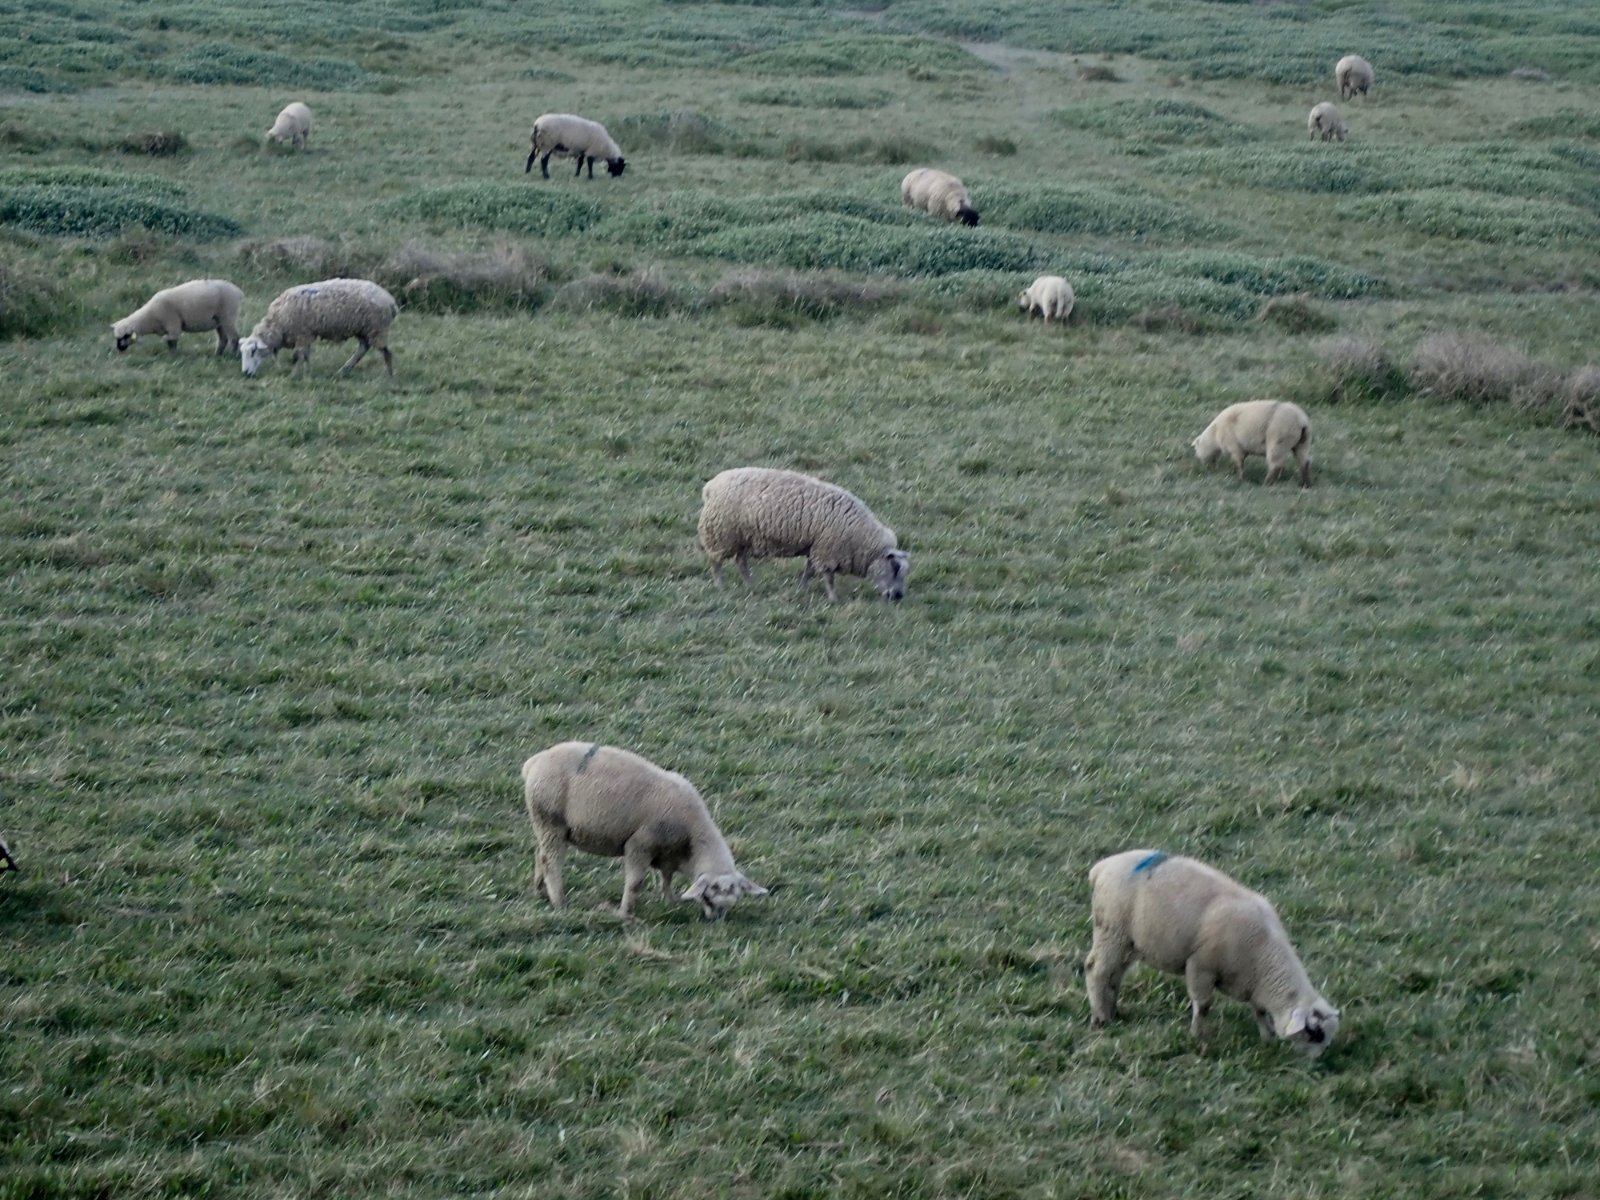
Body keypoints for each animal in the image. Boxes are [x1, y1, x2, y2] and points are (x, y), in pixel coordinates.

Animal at [112, 279, 244, 357]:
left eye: (126, 336)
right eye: (117, 337)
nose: (119, 348)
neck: (149, 317)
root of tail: (238, 291)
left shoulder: (172, 323)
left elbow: (171, 340)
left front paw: (173, 356)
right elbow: (171, 342)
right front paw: (172, 354)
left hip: (228, 316)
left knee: (234, 338)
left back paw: (233, 355)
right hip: (219, 320)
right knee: (223, 338)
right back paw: (217, 355)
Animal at [239, 278, 399, 377]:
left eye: (253, 352)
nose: (245, 374)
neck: (278, 323)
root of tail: (390, 301)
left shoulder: (302, 334)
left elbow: (297, 356)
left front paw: (293, 375)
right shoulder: (306, 334)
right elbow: (305, 355)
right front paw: (307, 371)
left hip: (377, 328)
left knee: (386, 353)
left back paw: (388, 375)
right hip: (364, 329)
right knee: (363, 348)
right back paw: (344, 369)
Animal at [521, 741, 767, 920]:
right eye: (709, 895)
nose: (715, 921)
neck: (692, 838)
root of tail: (534, 762)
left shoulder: (667, 854)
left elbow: (666, 877)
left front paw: (669, 901)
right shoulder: (639, 845)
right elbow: (635, 883)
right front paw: (625, 913)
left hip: (547, 825)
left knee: (540, 854)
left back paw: (540, 891)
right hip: (551, 819)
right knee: (551, 860)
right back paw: (560, 902)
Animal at [698, 466, 910, 603]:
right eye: (895, 568)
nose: (898, 596)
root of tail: (711, 486)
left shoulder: (817, 547)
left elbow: (809, 571)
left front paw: (801, 589)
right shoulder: (828, 550)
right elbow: (828, 578)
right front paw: (833, 598)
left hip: (741, 538)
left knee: (741, 562)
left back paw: (750, 585)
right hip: (721, 534)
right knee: (716, 562)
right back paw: (720, 586)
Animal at [1085, 850, 1340, 1056]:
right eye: (1315, 1034)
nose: (1315, 1064)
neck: (1264, 960)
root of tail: (1101, 868)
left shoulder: (1251, 983)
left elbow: (1259, 1010)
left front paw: (1267, 1038)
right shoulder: (1201, 966)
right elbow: (1204, 1005)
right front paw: (1198, 1036)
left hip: (1128, 943)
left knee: (1113, 976)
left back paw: (1112, 1011)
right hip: (1112, 931)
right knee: (1095, 970)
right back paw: (1100, 1018)